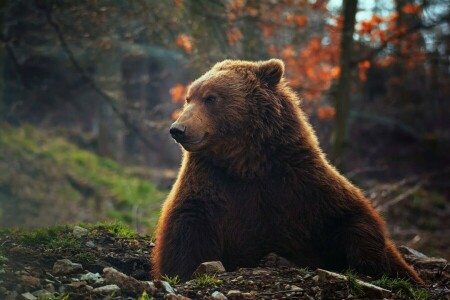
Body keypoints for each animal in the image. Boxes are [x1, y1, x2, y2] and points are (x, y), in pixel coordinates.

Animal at [153, 58, 424, 284]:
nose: (178, 129)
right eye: (189, 98)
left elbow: (351, 217)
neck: (245, 163)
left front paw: (368, 264)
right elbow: (185, 236)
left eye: (211, 98)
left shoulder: (298, 181)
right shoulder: (211, 185)